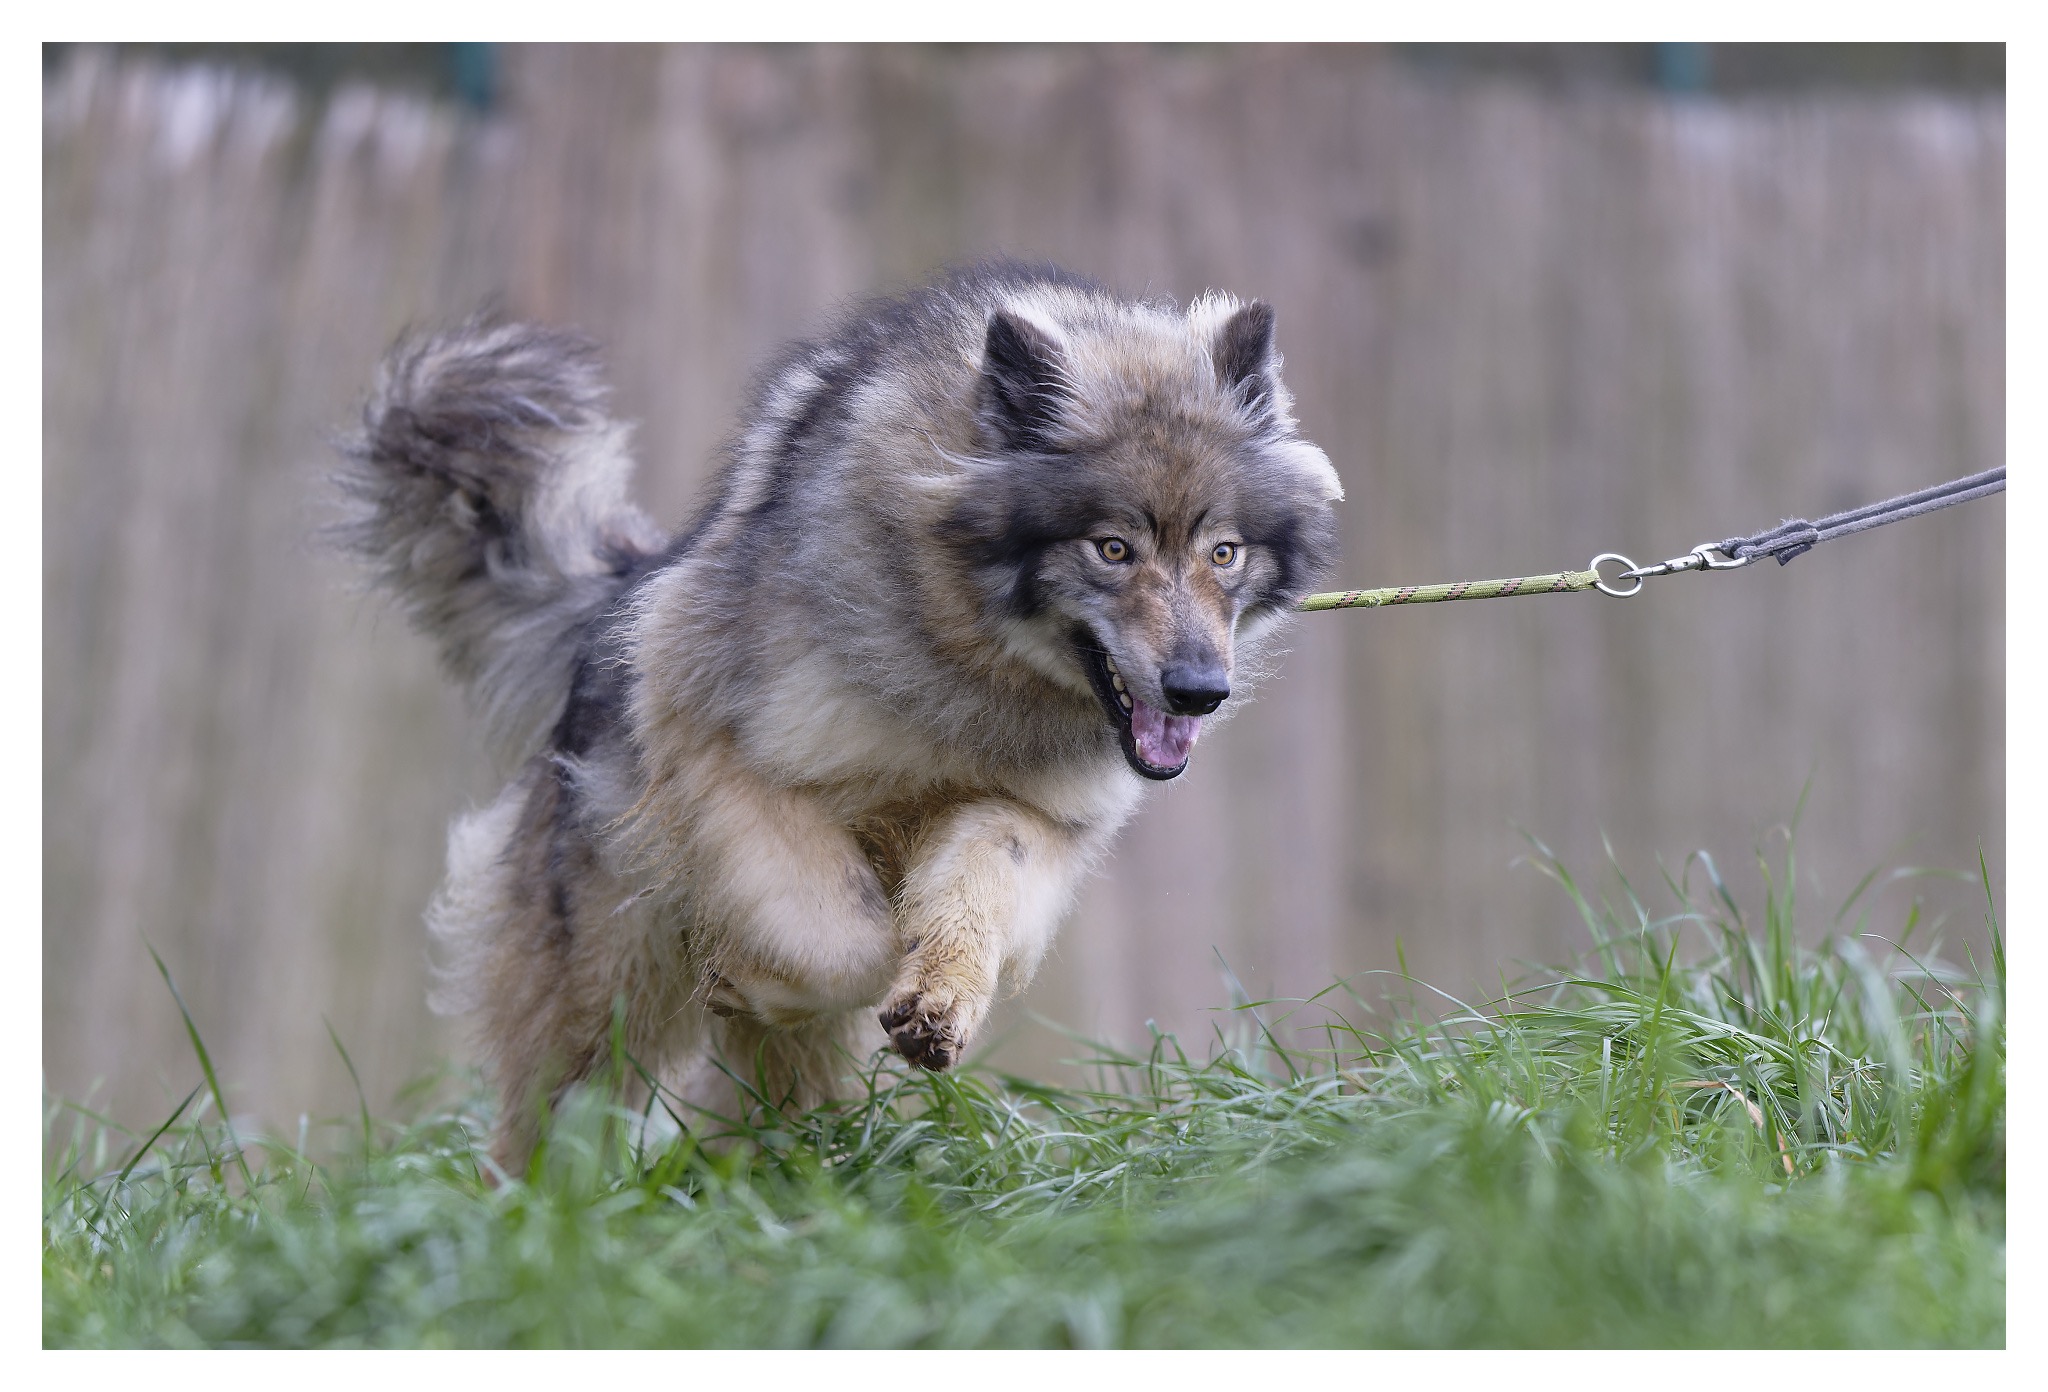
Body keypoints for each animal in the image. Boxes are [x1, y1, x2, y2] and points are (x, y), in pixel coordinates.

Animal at [339, 264, 1343, 1170]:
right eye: (1112, 549)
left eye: (1223, 553)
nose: (1200, 690)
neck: (967, 659)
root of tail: (624, 591)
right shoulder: (734, 769)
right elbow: (845, 949)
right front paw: (761, 979)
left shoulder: (1029, 816)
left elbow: (969, 898)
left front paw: (940, 998)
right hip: (607, 988)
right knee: (550, 1120)